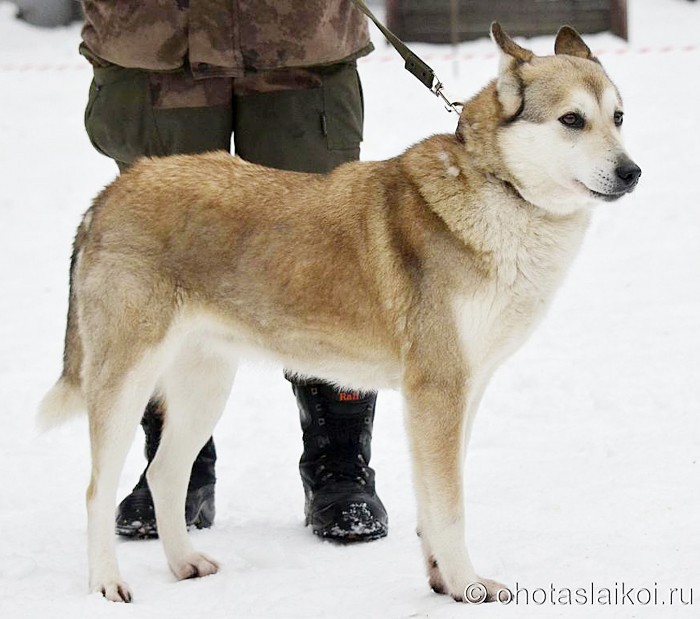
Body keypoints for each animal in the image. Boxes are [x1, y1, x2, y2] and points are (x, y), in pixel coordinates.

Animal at [39, 23, 640, 603]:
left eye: (617, 118)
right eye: (571, 120)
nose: (632, 172)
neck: (504, 194)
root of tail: (112, 192)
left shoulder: (459, 394)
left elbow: (431, 505)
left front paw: (442, 582)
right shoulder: (438, 394)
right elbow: (449, 508)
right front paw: (467, 585)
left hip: (205, 386)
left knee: (165, 474)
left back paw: (184, 564)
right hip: (126, 381)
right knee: (97, 491)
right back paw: (106, 584)